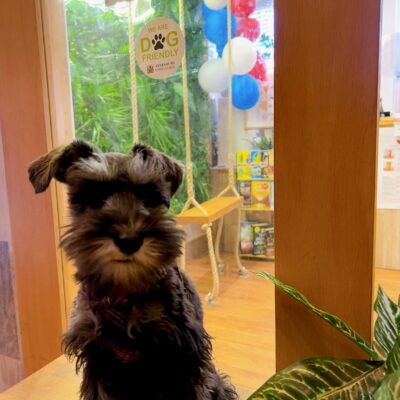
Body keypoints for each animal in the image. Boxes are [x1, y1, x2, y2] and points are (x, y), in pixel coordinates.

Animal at [28, 141, 238, 400]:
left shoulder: (183, 356)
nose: (129, 240)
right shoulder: (98, 359)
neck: (121, 294)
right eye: (94, 196)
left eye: (149, 197)